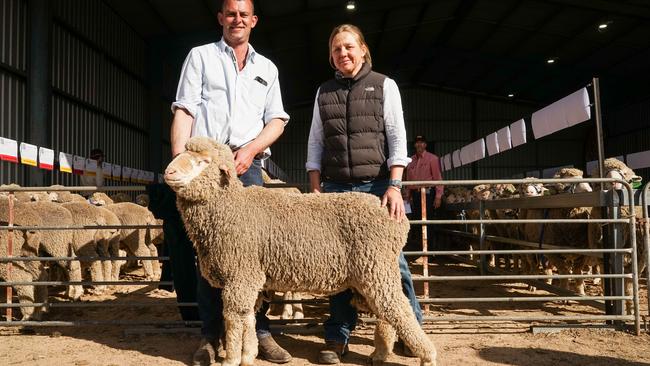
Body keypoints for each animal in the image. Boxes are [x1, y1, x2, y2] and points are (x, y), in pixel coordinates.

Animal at [163, 137, 436, 366]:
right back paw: (379, 354)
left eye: (204, 161)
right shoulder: (249, 280)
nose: (169, 172)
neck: (230, 208)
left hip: (377, 270)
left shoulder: (241, 275)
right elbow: (248, 318)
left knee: (400, 311)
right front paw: (248, 355)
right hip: (369, 276)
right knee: (386, 315)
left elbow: (233, 319)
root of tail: (393, 218)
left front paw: (231, 359)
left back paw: (427, 356)